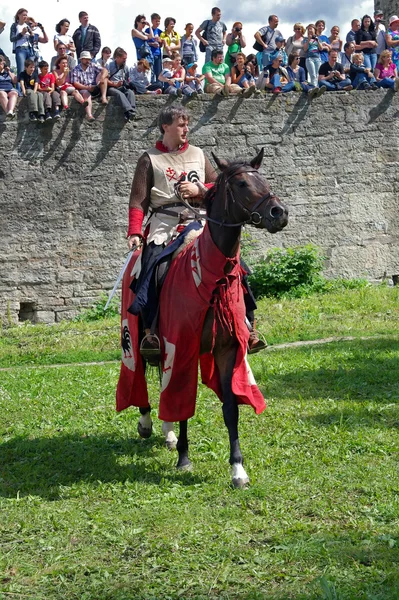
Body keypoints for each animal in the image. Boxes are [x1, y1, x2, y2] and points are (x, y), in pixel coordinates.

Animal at [138, 149, 288, 488]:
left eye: (264, 179)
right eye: (243, 184)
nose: (279, 213)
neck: (210, 276)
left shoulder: (227, 349)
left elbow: (230, 407)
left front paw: (238, 469)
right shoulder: (181, 345)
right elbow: (183, 401)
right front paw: (184, 458)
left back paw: (167, 433)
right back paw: (148, 422)